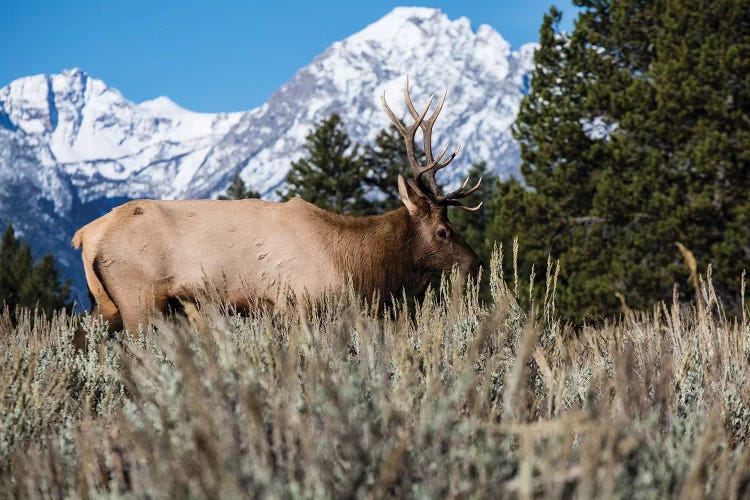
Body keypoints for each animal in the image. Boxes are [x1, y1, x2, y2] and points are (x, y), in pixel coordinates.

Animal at [73, 78, 484, 334]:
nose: (476, 264)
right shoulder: (294, 303)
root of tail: (86, 235)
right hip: (138, 297)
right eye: (443, 231)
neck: (353, 263)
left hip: (103, 305)